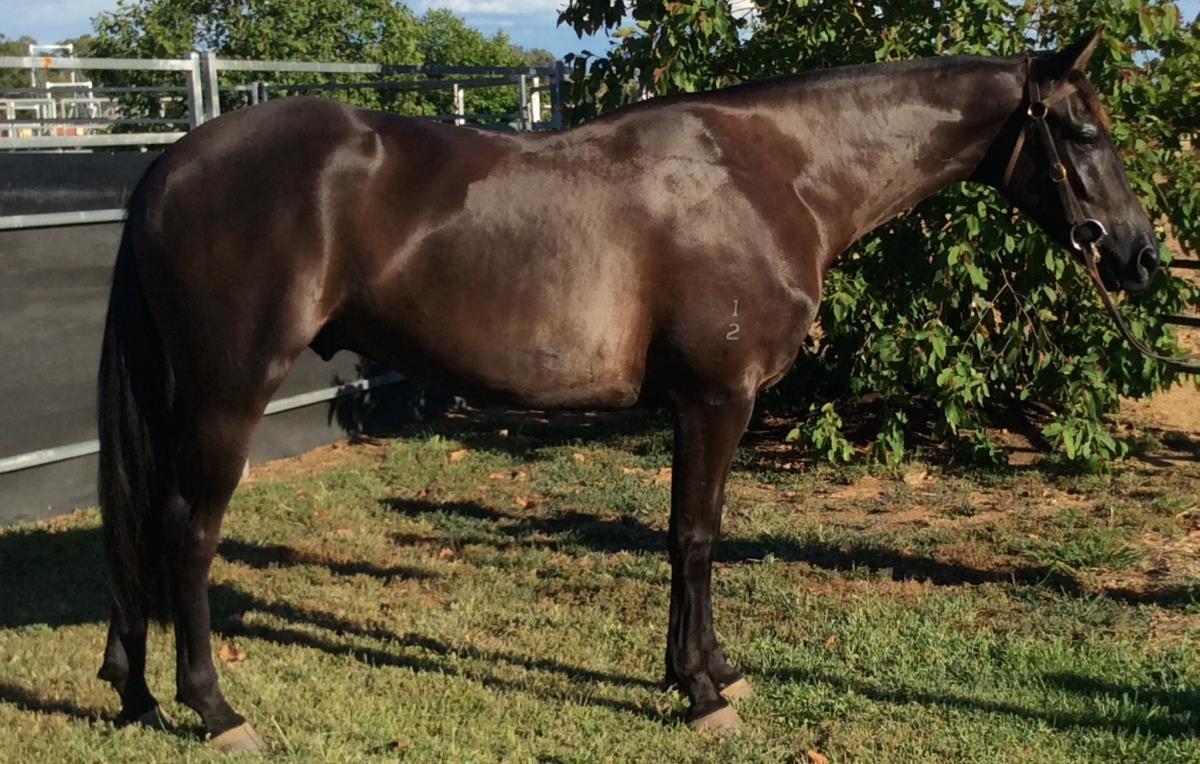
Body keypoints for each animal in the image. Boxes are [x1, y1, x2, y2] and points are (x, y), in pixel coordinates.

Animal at [96, 31, 1160, 751]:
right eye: (1080, 130)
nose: (1141, 257)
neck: (775, 176)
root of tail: (170, 164)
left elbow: (700, 535)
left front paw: (715, 671)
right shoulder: (714, 401)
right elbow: (693, 537)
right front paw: (700, 693)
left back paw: (137, 691)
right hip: (227, 395)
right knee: (184, 529)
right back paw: (215, 709)